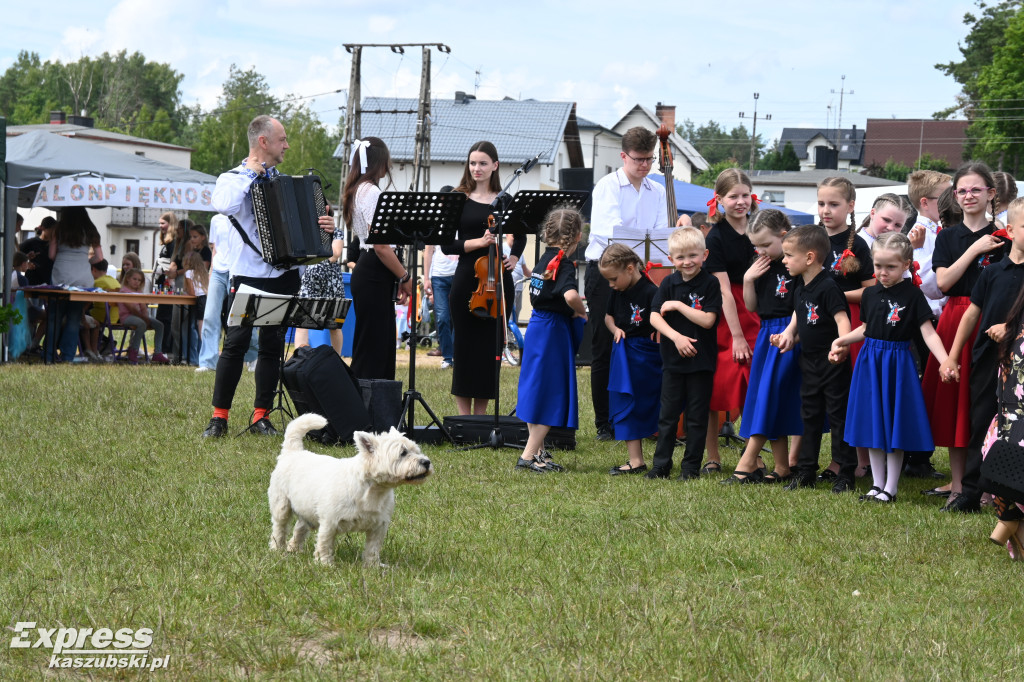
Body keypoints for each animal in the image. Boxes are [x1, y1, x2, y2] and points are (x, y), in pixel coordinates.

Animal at [268, 411, 432, 565]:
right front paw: (324, 564)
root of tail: (292, 452)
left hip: (306, 509)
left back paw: (293, 549)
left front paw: (373, 566)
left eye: (417, 451)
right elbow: (324, 543)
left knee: (299, 528)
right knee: (279, 528)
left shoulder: (379, 525)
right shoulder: (329, 521)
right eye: (403, 453)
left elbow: (373, 548)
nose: (426, 462)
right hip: (282, 505)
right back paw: (277, 549)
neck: (372, 491)